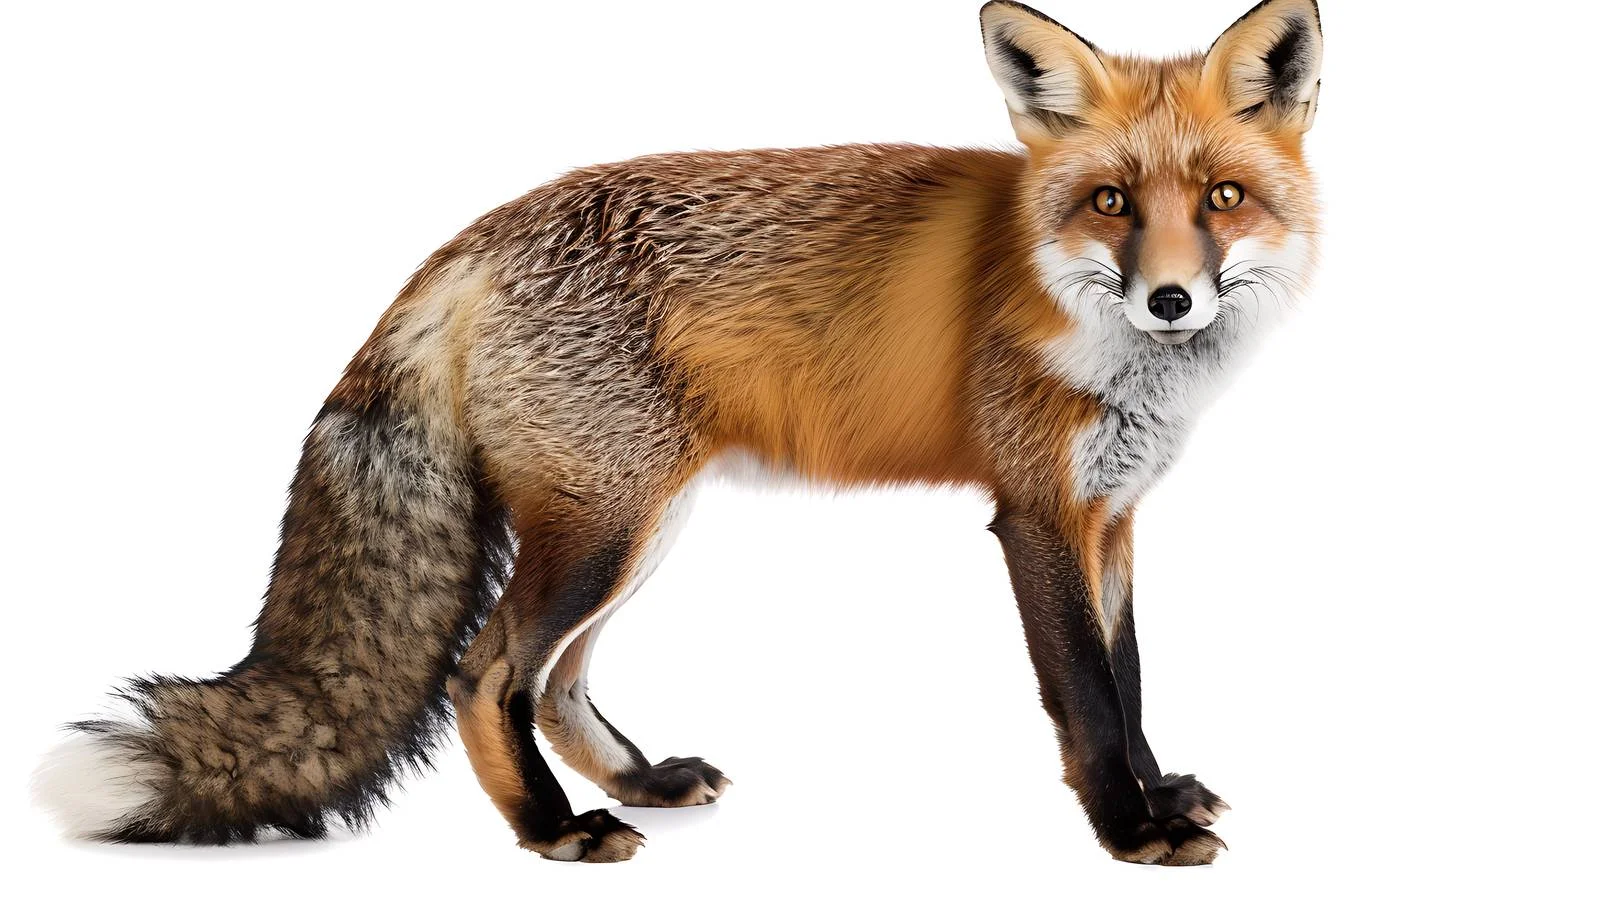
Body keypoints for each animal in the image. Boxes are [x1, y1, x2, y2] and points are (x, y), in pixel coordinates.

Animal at [34, 0, 1321, 867]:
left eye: (1221, 200)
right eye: (1110, 202)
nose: (1171, 301)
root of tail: (470, 242)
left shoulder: (1112, 515)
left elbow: (1133, 680)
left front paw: (1160, 795)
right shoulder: (1037, 516)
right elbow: (1086, 699)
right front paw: (1127, 832)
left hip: (637, 524)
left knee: (553, 683)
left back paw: (639, 780)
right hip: (609, 525)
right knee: (484, 674)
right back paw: (554, 831)